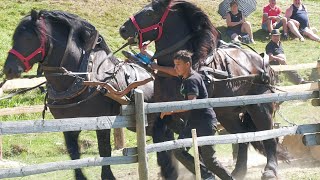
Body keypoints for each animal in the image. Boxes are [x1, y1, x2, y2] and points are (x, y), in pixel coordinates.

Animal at [2, 10, 157, 180]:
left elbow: (104, 151)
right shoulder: (68, 124)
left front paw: (108, 175)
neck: (82, 78)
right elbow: (73, 153)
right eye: (15, 38)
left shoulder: (102, 122)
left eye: (29, 38)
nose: (8, 69)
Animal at [119, 0, 288, 179]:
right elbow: (168, 142)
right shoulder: (165, 114)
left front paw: (205, 172)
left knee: (270, 138)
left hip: (260, 108)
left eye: (149, 13)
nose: (123, 29)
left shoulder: (189, 117)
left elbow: (188, 148)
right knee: (242, 137)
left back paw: (270, 170)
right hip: (227, 114)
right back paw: (238, 171)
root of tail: (262, 61)